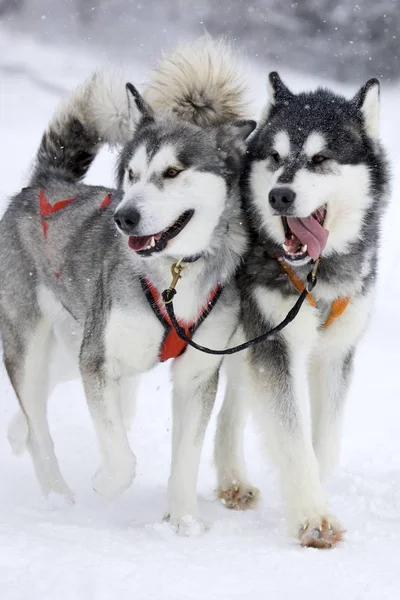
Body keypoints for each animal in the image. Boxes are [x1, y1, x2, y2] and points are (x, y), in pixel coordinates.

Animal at [0, 39, 255, 532]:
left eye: (173, 172)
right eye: (133, 174)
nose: (125, 217)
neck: (174, 276)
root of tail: (45, 183)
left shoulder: (197, 374)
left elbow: (186, 457)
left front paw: (185, 522)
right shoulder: (99, 361)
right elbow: (120, 453)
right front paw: (108, 481)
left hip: (73, 345)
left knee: (40, 407)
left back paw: (17, 434)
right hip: (35, 345)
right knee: (39, 420)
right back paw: (57, 493)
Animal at [214, 72, 390, 548]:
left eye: (321, 158)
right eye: (275, 156)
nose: (280, 195)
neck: (315, 274)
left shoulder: (335, 354)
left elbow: (323, 444)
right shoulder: (275, 343)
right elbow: (292, 439)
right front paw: (313, 517)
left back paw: (232, 479)